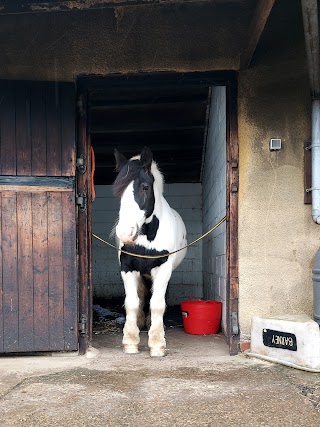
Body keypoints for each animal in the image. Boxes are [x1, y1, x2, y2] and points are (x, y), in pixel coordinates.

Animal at [113, 148, 186, 358]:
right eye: (118, 191)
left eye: (145, 187)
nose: (125, 233)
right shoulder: (128, 268)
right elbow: (132, 302)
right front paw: (130, 341)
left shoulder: (163, 269)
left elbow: (157, 304)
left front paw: (157, 344)